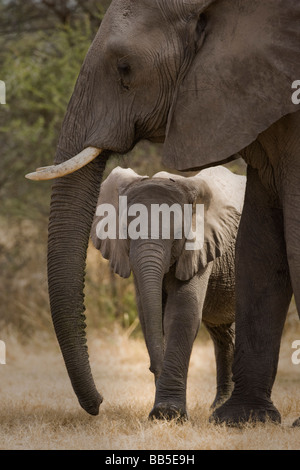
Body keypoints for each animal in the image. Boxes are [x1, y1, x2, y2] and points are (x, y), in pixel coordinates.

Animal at [91, 166, 246, 422]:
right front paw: (163, 414)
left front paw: (168, 413)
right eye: (126, 232)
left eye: (177, 236)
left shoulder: (199, 247)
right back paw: (220, 406)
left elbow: (182, 311)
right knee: (223, 332)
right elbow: (148, 315)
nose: (155, 367)